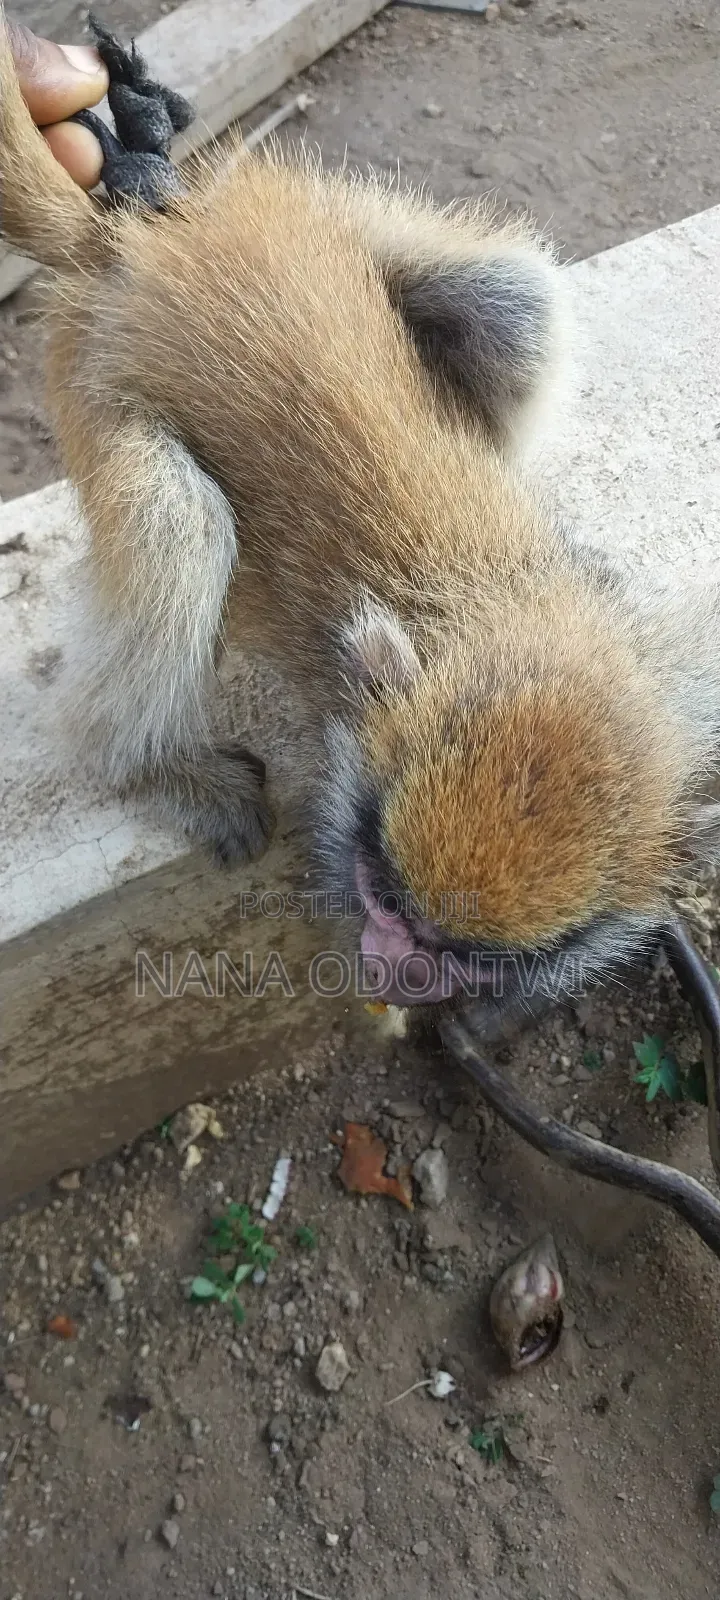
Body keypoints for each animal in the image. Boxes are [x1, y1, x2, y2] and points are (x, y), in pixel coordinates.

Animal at [2, 10, 720, 1021]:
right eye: (381, 897)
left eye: (465, 955)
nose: (390, 974)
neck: (491, 606)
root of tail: (139, 255)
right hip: (92, 380)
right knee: (179, 523)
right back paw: (145, 763)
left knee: (518, 300)